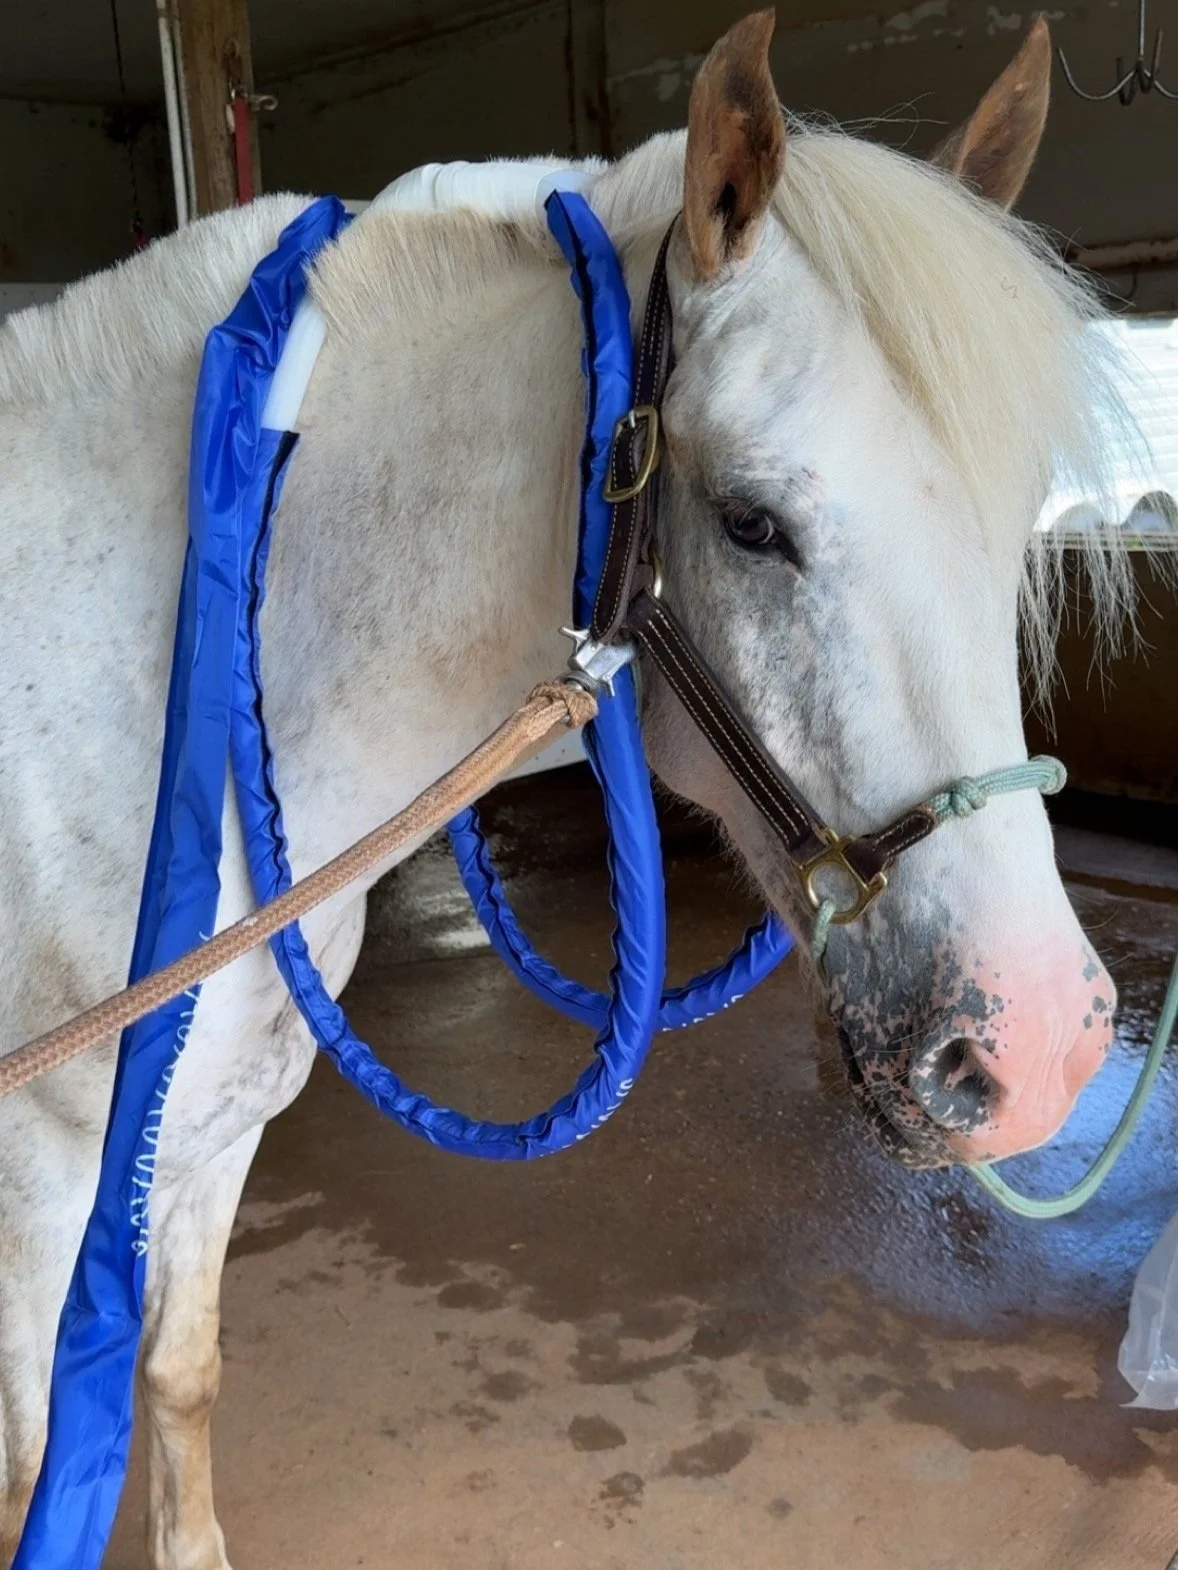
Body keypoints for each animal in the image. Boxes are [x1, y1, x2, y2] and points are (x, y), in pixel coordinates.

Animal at [0, 11, 1133, 1567]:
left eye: (1015, 514)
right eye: (749, 523)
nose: (1041, 1049)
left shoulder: (209, 1131)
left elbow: (175, 1376)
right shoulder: (40, 1191)